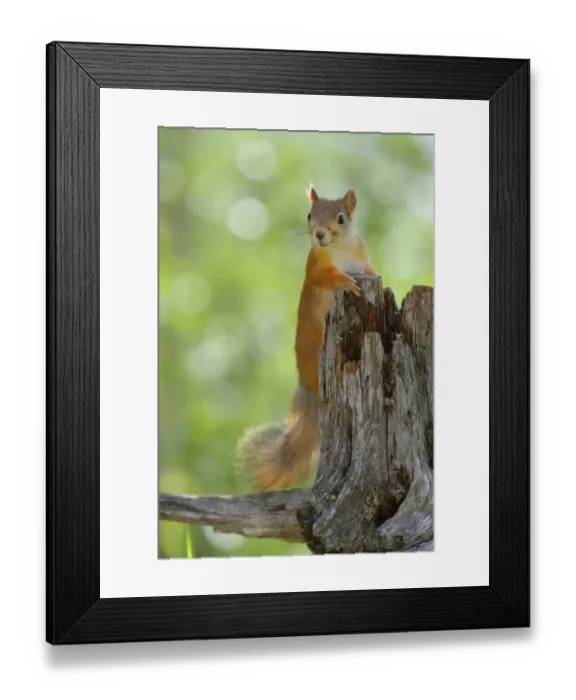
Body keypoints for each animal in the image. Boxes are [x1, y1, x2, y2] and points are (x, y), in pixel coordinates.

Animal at [236, 186, 377, 491]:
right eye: (309, 215)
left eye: (341, 218)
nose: (319, 234)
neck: (339, 247)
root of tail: (307, 385)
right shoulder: (315, 269)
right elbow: (326, 278)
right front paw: (345, 281)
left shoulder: (364, 258)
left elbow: (371, 271)